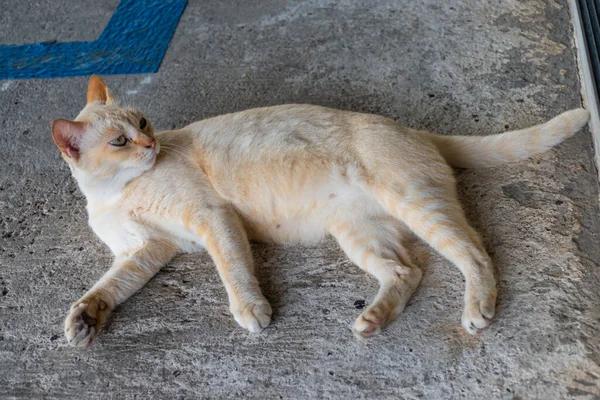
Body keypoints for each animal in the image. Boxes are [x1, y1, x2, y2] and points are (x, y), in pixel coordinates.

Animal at [54, 75, 588, 346]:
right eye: (120, 141)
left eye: (143, 123)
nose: (149, 145)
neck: (114, 194)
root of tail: (413, 130)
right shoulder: (146, 251)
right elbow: (109, 287)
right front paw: (84, 319)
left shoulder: (211, 217)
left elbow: (233, 269)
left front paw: (250, 309)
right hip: (358, 234)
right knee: (408, 271)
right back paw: (373, 319)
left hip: (418, 207)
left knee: (474, 253)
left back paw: (477, 307)